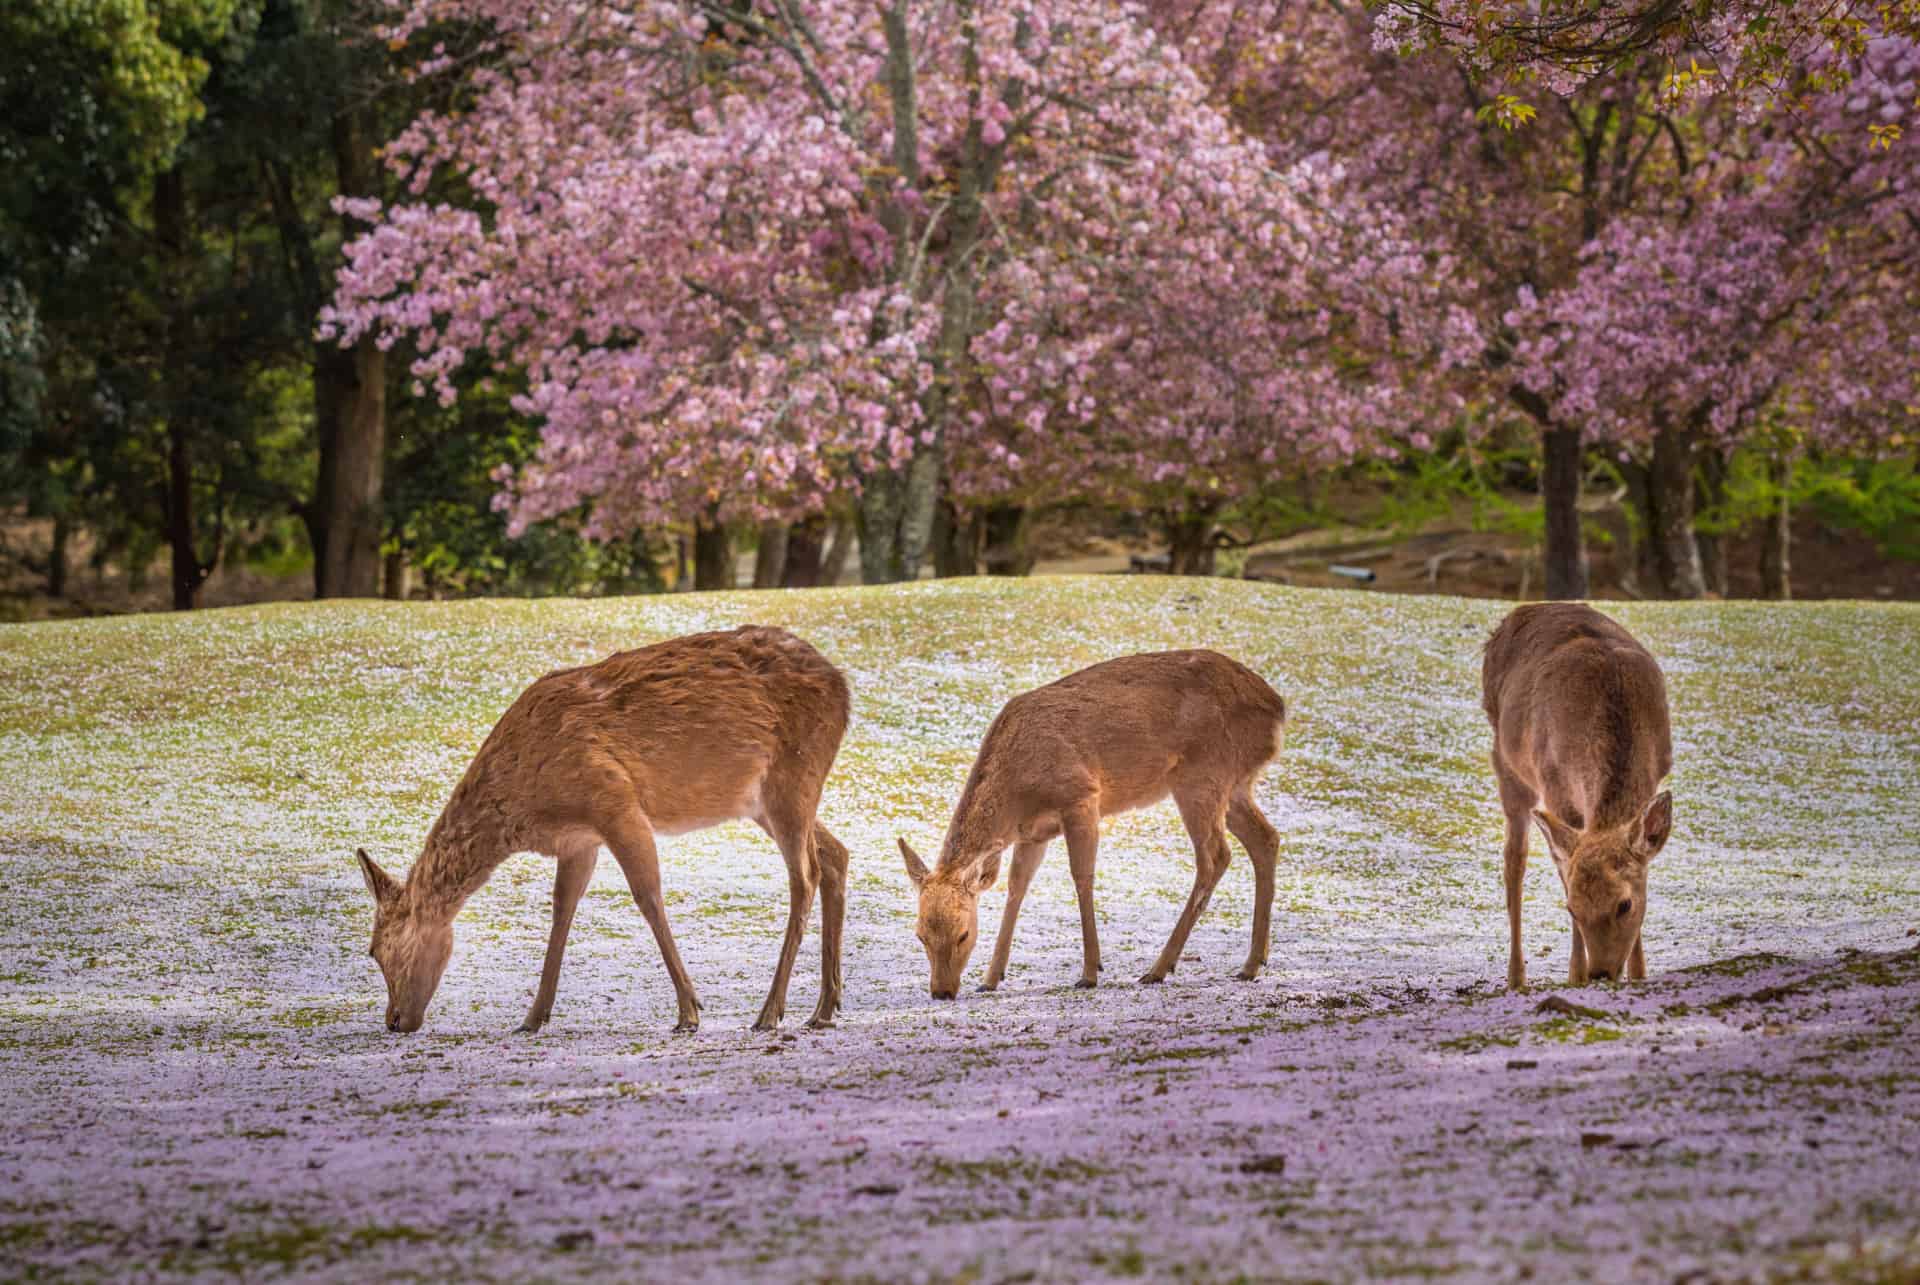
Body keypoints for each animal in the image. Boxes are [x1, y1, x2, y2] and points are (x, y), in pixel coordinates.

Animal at [353, 626, 848, 1037]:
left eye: (375, 949)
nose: (394, 1020)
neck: (527, 804)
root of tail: (844, 690)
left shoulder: (614, 800)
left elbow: (647, 896)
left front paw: (689, 1010)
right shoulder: (578, 840)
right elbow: (562, 910)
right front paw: (532, 1017)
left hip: (792, 777)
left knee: (805, 874)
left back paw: (770, 1012)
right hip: (765, 798)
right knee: (836, 854)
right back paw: (824, 1007)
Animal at [898, 645, 1290, 998]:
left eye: (963, 934)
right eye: (920, 934)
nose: (941, 992)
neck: (1017, 795)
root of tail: (1277, 709)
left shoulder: (1081, 797)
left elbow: (1082, 877)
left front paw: (1089, 972)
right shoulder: (1033, 834)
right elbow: (1016, 888)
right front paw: (991, 978)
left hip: (1201, 777)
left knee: (1215, 856)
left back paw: (1159, 968)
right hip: (1235, 783)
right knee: (1266, 838)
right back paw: (1252, 963)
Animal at [1482, 603, 1666, 991]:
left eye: (1625, 905)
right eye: (1571, 908)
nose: (1601, 973)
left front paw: (1640, 973)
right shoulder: (1556, 789)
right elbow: (1563, 866)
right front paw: (1574, 975)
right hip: (1507, 763)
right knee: (1514, 860)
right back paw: (1516, 976)